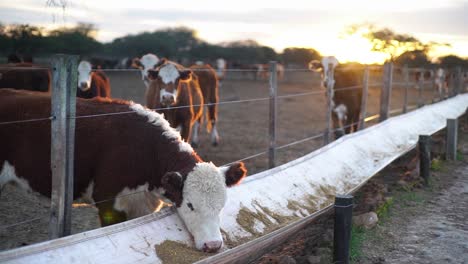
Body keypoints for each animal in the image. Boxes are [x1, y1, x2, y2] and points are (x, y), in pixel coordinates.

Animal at [0, 89, 249, 254]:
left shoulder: (141, 206)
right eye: (190, 205)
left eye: (221, 205)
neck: (145, 150)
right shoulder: (108, 202)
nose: (213, 245)